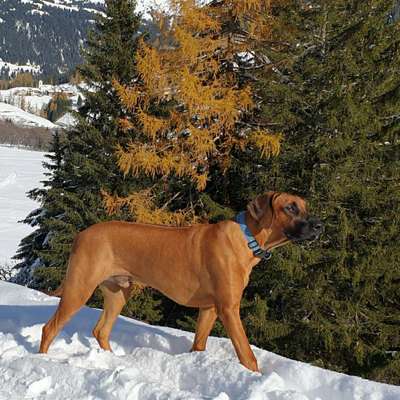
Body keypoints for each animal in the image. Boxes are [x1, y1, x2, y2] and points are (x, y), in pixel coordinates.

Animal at [39, 191, 324, 372]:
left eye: (306, 207)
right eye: (290, 207)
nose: (319, 226)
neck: (247, 238)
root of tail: (81, 234)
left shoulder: (209, 308)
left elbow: (199, 344)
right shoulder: (229, 309)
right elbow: (247, 355)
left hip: (118, 291)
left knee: (101, 330)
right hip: (80, 288)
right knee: (49, 328)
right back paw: (42, 360)